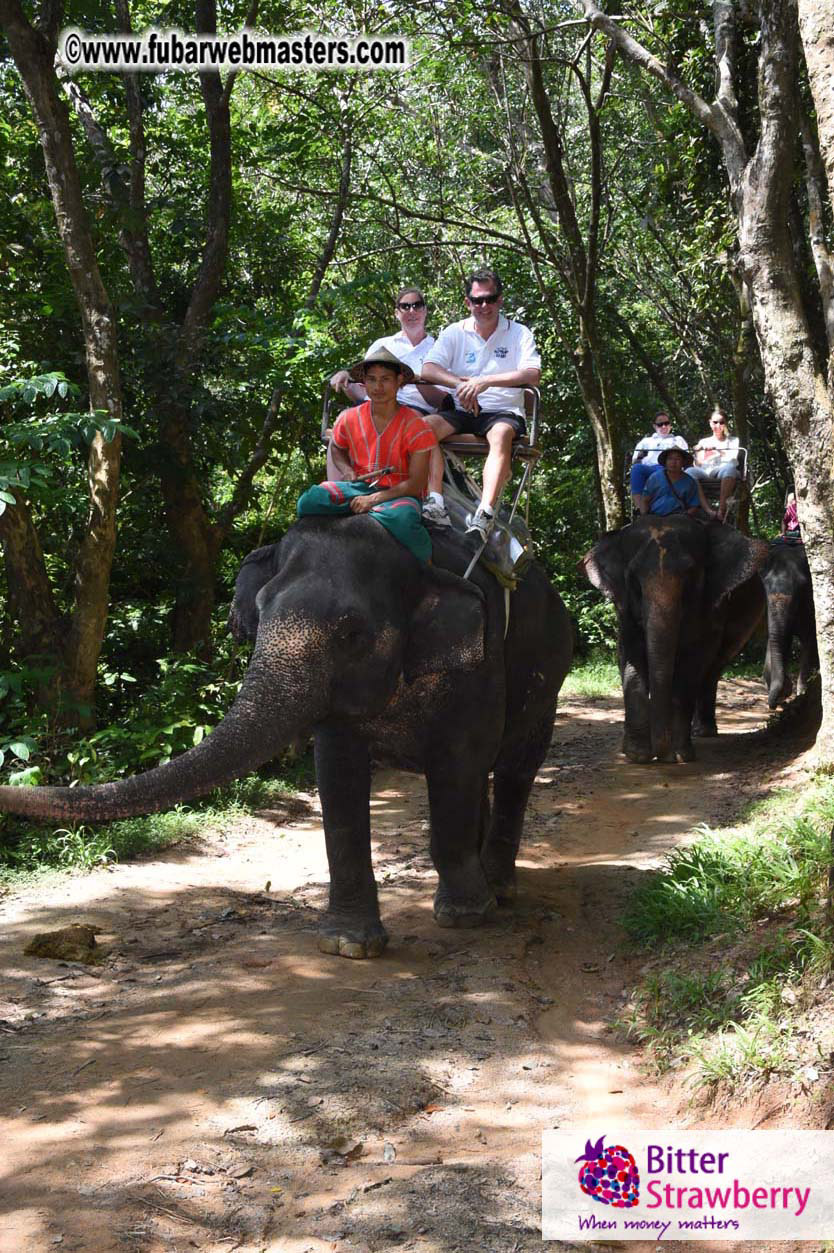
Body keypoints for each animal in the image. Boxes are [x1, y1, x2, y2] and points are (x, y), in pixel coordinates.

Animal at [0, 516, 573, 958]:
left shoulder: (481, 663)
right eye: (260, 609)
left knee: (515, 769)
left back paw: (497, 889)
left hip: (550, 679)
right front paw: (348, 944)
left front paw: (463, 917)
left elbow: (458, 761)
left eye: (352, 633)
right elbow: (338, 774)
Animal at [582, 515, 767, 763]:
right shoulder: (624, 608)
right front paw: (637, 755)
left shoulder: (712, 605)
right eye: (634, 580)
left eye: (690, 577)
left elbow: (692, 662)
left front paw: (680, 756)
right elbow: (630, 655)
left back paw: (703, 731)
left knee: (712, 668)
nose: (661, 755)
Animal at [762, 541, 818, 708]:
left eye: (803, 586)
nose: (775, 704)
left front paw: (801, 694)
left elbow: (810, 640)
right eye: (764, 585)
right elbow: (779, 639)